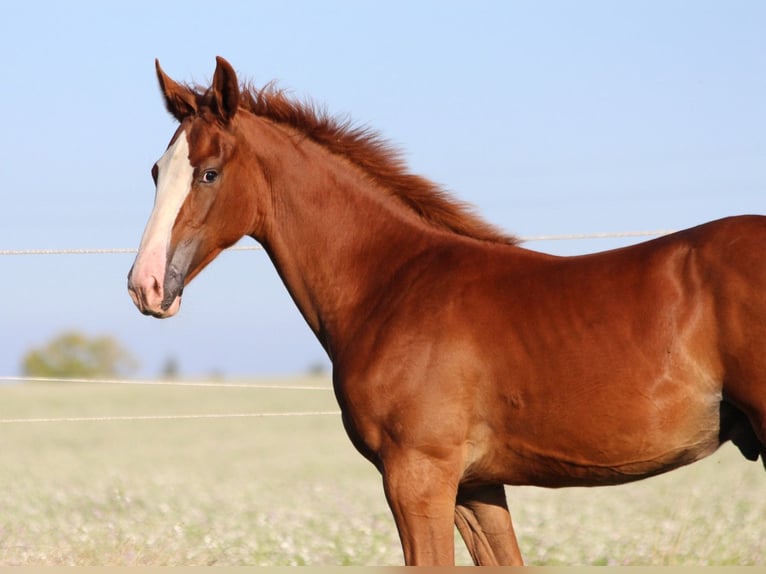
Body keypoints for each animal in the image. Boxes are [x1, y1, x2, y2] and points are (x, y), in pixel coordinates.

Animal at [127, 57, 765, 566]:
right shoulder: (476, 488)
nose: (146, 286)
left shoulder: (417, 476)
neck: (392, 282)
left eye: (209, 172)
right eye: (156, 172)